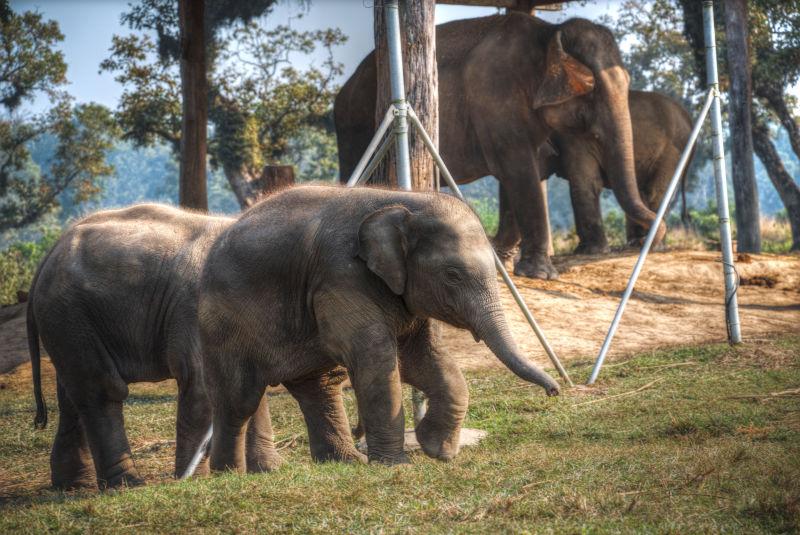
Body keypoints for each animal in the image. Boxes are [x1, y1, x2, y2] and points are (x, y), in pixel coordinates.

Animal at [28, 204, 360, 490]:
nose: (359, 459)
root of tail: (49, 254)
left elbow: (253, 386)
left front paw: (269, 470)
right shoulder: (198, 314)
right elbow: (205, 387)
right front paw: (199, 480)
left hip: (69, 323)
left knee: (72, 396)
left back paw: (73, 485)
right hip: (70, 315)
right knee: (101, 390)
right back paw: (127, 484)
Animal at [198, 186, 564, 472]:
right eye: (453, 275)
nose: (554, 391)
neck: (404, 202)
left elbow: (424, 359)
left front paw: (438, 450)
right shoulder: (341, 275)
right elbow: (376, 357)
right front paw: (397, 465)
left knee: (319, 386)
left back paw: (345, 462)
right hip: (223, 325)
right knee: (240, 398)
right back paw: (229, 474)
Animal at [334, 13, 664, 280]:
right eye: (592, 88)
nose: (649, 237)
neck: (548, 32)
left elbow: (520, 175)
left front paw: (502, 262)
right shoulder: (497, 99)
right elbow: (520, 171)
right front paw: (540, 274)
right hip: (355, 124)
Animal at [494, 90, 688, 255]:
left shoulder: (576, 139)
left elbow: (586, 182)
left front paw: (590, 251)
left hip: (673, 153)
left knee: (655, 192)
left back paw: (652, 245)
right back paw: (637, 243)